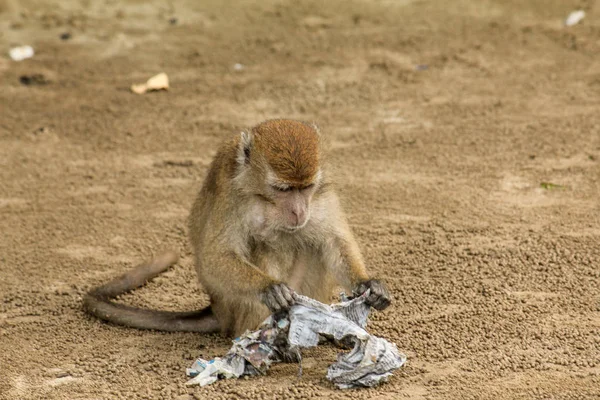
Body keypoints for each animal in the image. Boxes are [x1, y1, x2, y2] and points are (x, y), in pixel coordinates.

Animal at [85, 119, 394, 338]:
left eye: (305, 187)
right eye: (283, 189)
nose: (298, 211)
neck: (261, 195)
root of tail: (219, 310)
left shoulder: (321, 195)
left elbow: (333, 241)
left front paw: (367, 284)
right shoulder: (231, 198)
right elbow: (214, 258)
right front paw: (268, 286)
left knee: (309, 241)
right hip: (239, 308)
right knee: (263, 244)